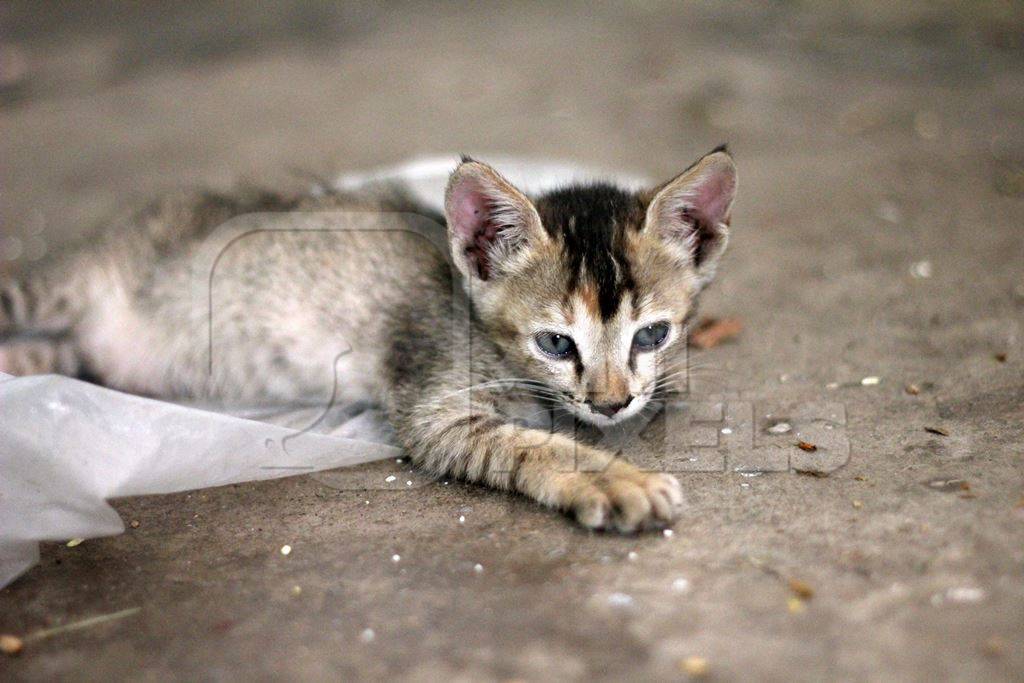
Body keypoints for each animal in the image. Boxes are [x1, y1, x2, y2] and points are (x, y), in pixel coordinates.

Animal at [0, 148, 737, 532]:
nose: (612, 403)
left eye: (652, 334)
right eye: (556, 343)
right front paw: (617, 482)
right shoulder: (435, 408)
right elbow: (531, 444)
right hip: (51, 286)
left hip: (75, 351)